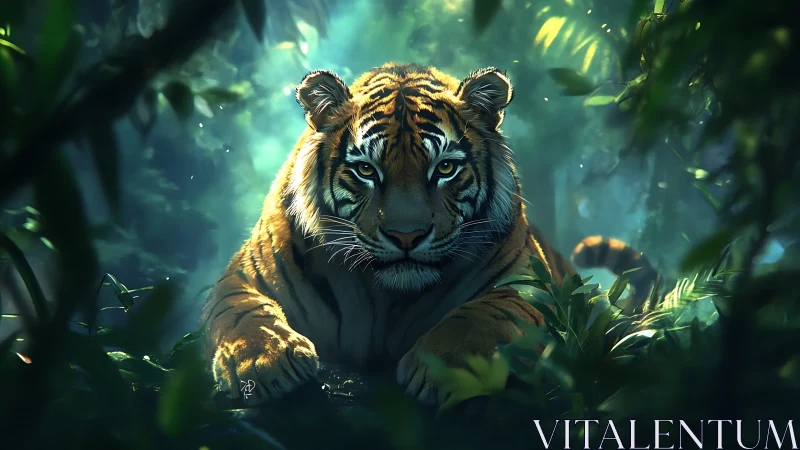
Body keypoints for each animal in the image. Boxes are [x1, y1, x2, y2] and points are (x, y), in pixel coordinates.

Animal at [201, 63, 657, 405]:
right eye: (366, 170)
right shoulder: (243, 275)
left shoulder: (528, 284)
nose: (407, 236)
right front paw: (263, 362)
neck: (385, 296)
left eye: (445, 168)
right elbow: (243, 313)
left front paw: (442, 367)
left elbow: (483, 315)